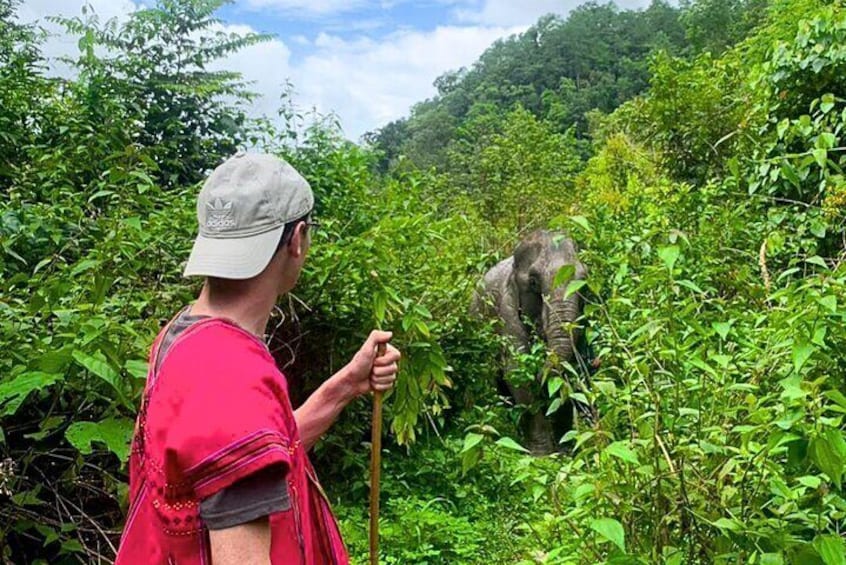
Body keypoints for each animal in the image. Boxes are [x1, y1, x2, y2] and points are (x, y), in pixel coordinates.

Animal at [474, 229, 592, 454]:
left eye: (584, 280)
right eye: (534, 282)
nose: (540, 372)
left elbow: (569, 372)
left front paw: (565, 452)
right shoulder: (506, 312)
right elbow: (518, 374)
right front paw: (542, 456)